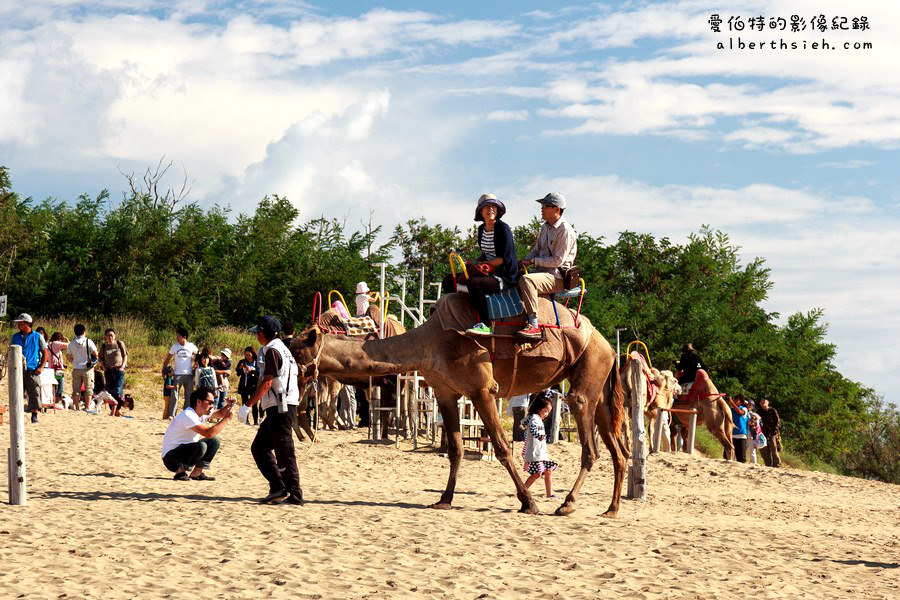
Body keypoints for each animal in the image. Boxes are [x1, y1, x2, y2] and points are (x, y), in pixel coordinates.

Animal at [290, 292, 624, 516]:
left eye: (298, 352)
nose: (292, 381)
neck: (429, 342)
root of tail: (608, 345)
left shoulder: (481, 389)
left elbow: (501, 448)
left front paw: (528, 503)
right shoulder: (445, 392)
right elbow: (455, 449)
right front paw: (444, 499)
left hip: (587, 374)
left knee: (590, 445)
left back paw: (567, 504)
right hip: (600, 390)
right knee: (618, 450)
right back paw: (611, 508)